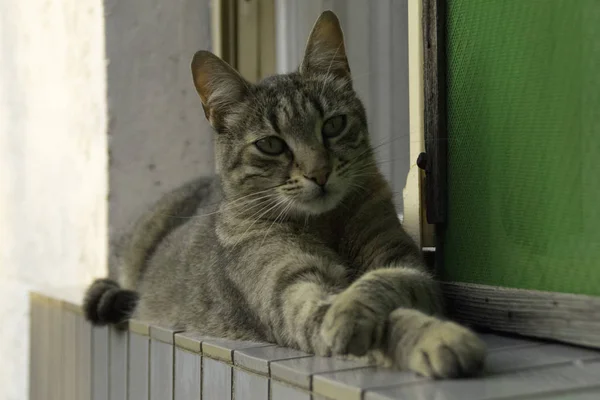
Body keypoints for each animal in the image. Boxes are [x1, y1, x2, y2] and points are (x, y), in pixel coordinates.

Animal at [84, 10, 486, 378]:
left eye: (333, 125)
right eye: (271, 145)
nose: (319, 172)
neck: (325, 226)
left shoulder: (406, 265)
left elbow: (380, 282)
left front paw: (355, 307)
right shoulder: (295, 297)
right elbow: (379, 322)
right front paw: (437, 338)